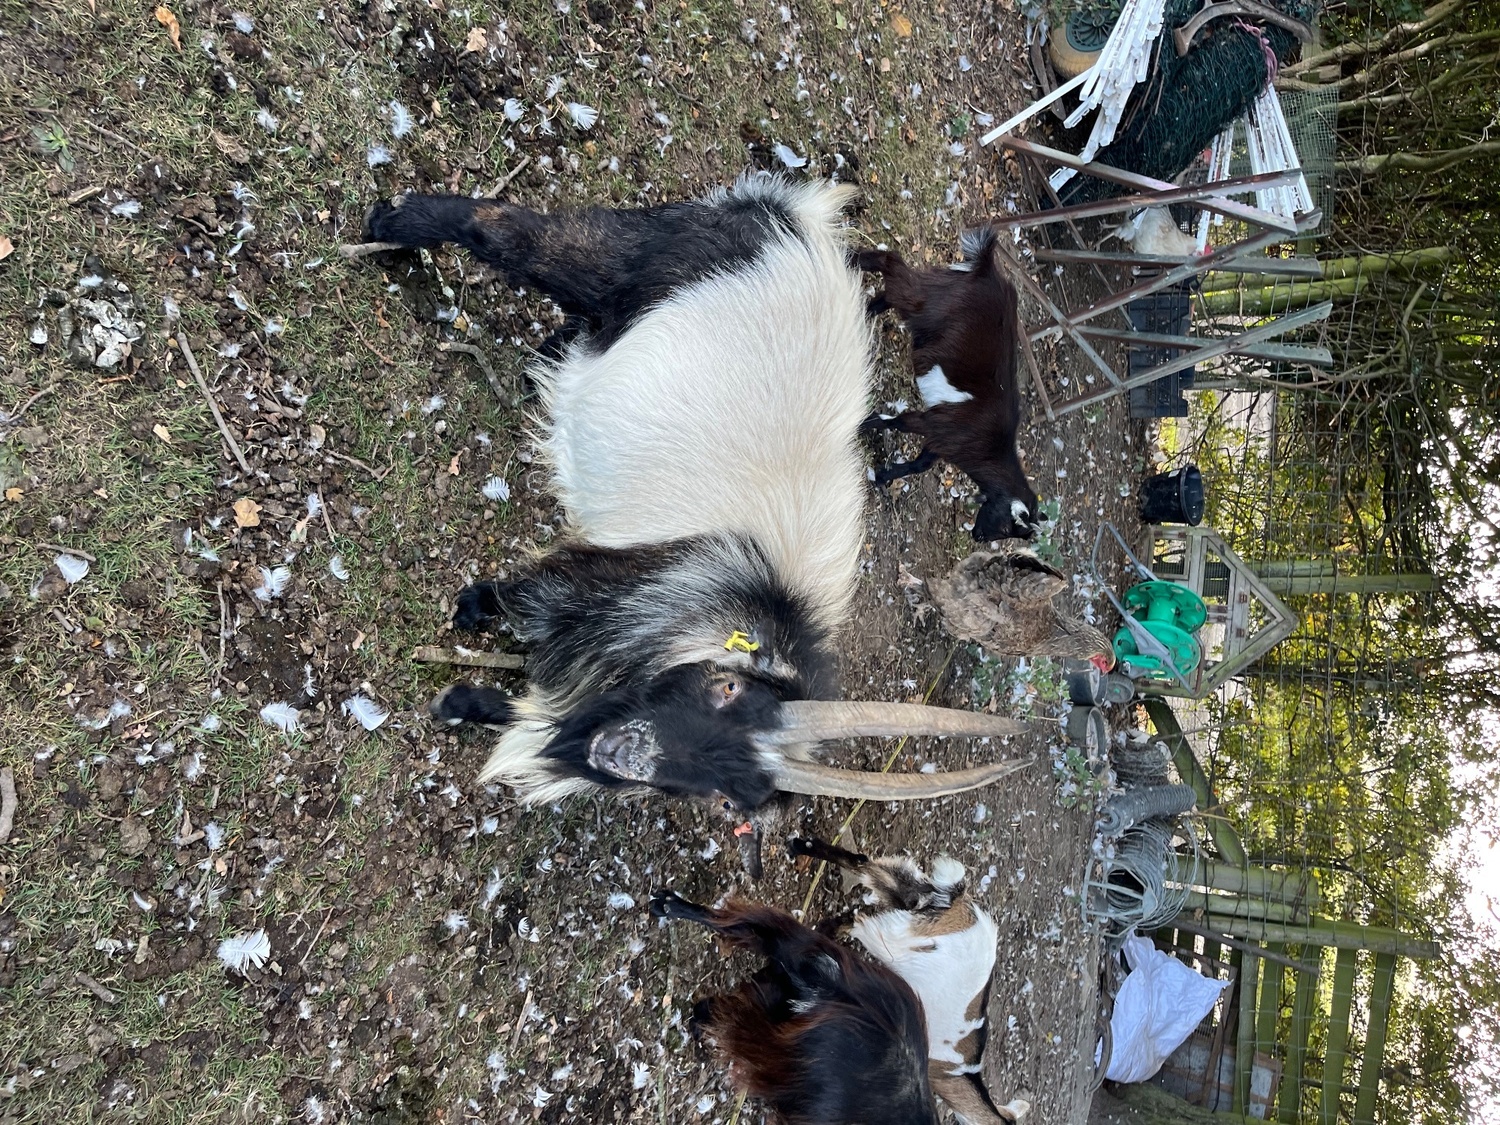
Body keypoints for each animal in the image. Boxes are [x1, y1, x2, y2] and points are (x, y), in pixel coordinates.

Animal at [788, 838, 1031, 1124]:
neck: (955, 1073)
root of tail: (959, 902)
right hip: (892, 937)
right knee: (859, 917)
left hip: (908, 897)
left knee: (863, 865)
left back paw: (801, 846)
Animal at [858, 228, 1043, 542]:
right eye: (1006, 528)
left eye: (1006, 535)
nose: (977, 537)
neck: (989, 447)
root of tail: (986, 268)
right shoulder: (938, 424)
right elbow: (898, 422)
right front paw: (862, 425)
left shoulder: (945, 441)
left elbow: (921, 463)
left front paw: (883, 475)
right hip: (929, 302)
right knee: (894, 266)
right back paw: (851, 258)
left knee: (892, 292)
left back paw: (866, 309)